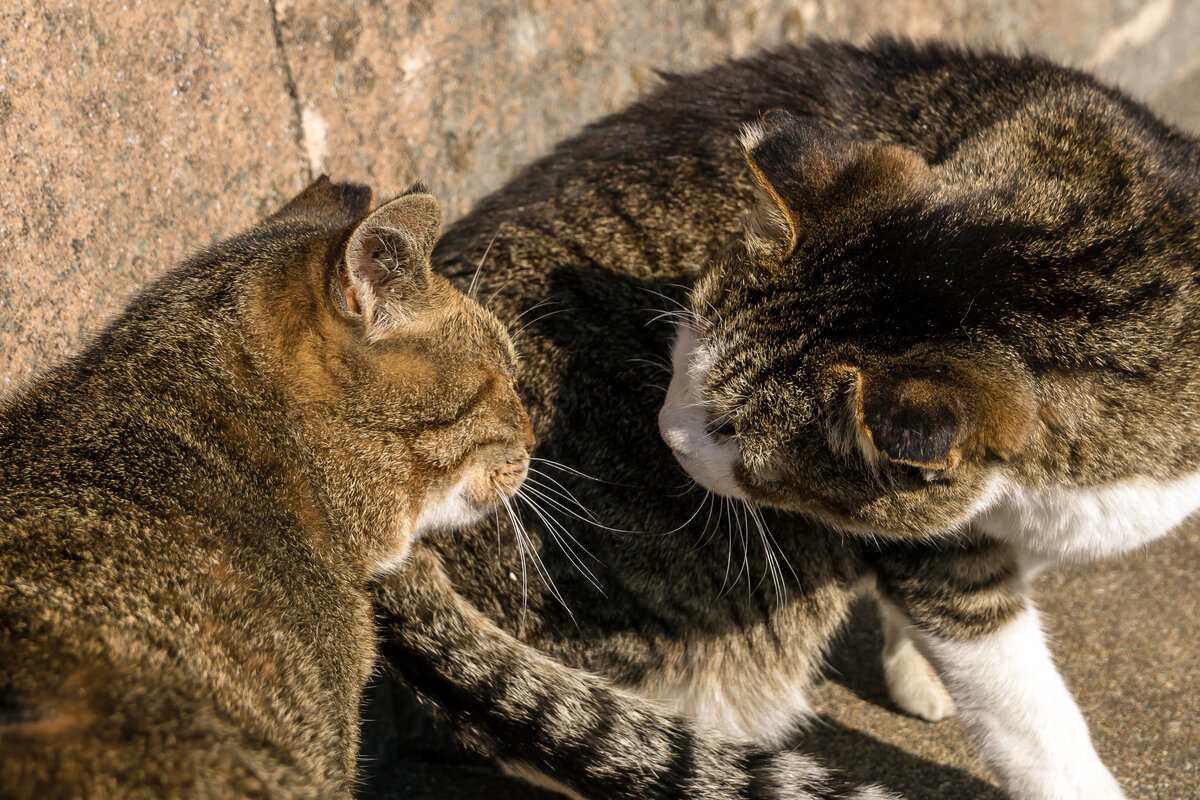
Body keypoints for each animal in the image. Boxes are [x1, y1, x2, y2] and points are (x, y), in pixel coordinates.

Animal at [369, 38, 1195, 800]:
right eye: (681, 346)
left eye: (733, 431)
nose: (667, 432)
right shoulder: (945, 557)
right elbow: (1027, 710)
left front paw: (914, 662)